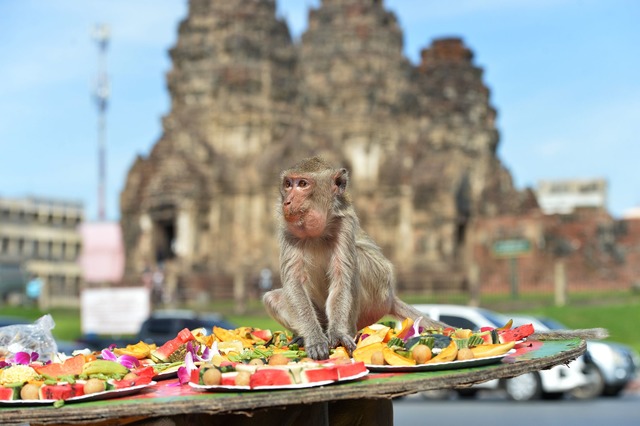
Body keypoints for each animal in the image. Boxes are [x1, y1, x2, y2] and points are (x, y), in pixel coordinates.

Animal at [262, 156, 448, 360]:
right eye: (288, 184)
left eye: (302, 184)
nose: (287, 202)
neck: (316, 233)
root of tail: (391, 298)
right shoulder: (288, 229)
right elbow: (294, 283)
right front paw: (314, 338)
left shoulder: (344, 224)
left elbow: (342, 278)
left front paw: (338, 334)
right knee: (272, 298)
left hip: (378, 296)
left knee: (356, 263)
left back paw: (348, 332)